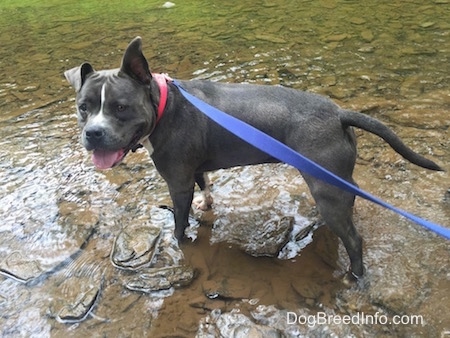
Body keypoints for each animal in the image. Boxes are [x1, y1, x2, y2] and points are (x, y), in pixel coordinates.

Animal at [65, 37, 442, 280]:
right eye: (83, 107)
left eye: (121, 108)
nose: (94, 133)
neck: (163, 105)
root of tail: (339, 114)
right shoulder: (195, 170)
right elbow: (206, 186)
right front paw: (207, 204)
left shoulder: (177, 182)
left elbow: (179, 224)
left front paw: (178, 243)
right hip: (336, 183)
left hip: (327, 190)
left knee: (354, 240)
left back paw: (355, 277)